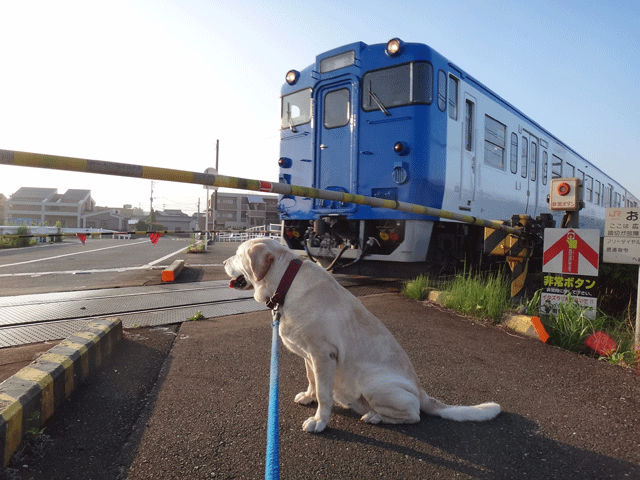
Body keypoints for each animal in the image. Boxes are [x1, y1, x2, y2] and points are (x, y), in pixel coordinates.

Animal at [225, 238, 500, 434]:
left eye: (237, 254)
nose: (225, 262)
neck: (286, 282)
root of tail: (423, 393)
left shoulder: (324, 354)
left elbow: (324, 394)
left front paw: (320, 421)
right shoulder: (310, 356)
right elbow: (312, 380)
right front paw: (309, 397)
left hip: (374, 382)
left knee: (414, 415)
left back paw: (375, 416)